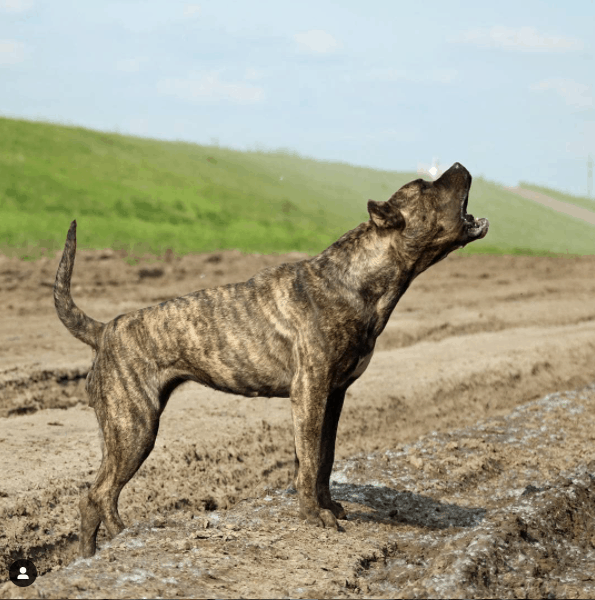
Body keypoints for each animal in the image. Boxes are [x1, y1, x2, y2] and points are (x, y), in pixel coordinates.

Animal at [53, 162, 488, 556]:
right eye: (425, 186)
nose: (459, 164)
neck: (357, 279)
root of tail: (104, 330)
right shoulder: (310, 391)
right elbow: (309, 461)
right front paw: (314, 517)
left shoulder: (333, 396)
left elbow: (323, 458)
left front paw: (327, 506)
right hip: (135, 428)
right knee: (99, 495)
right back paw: (114, 545)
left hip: (125, 431)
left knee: (94, 500)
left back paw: (99, 552)